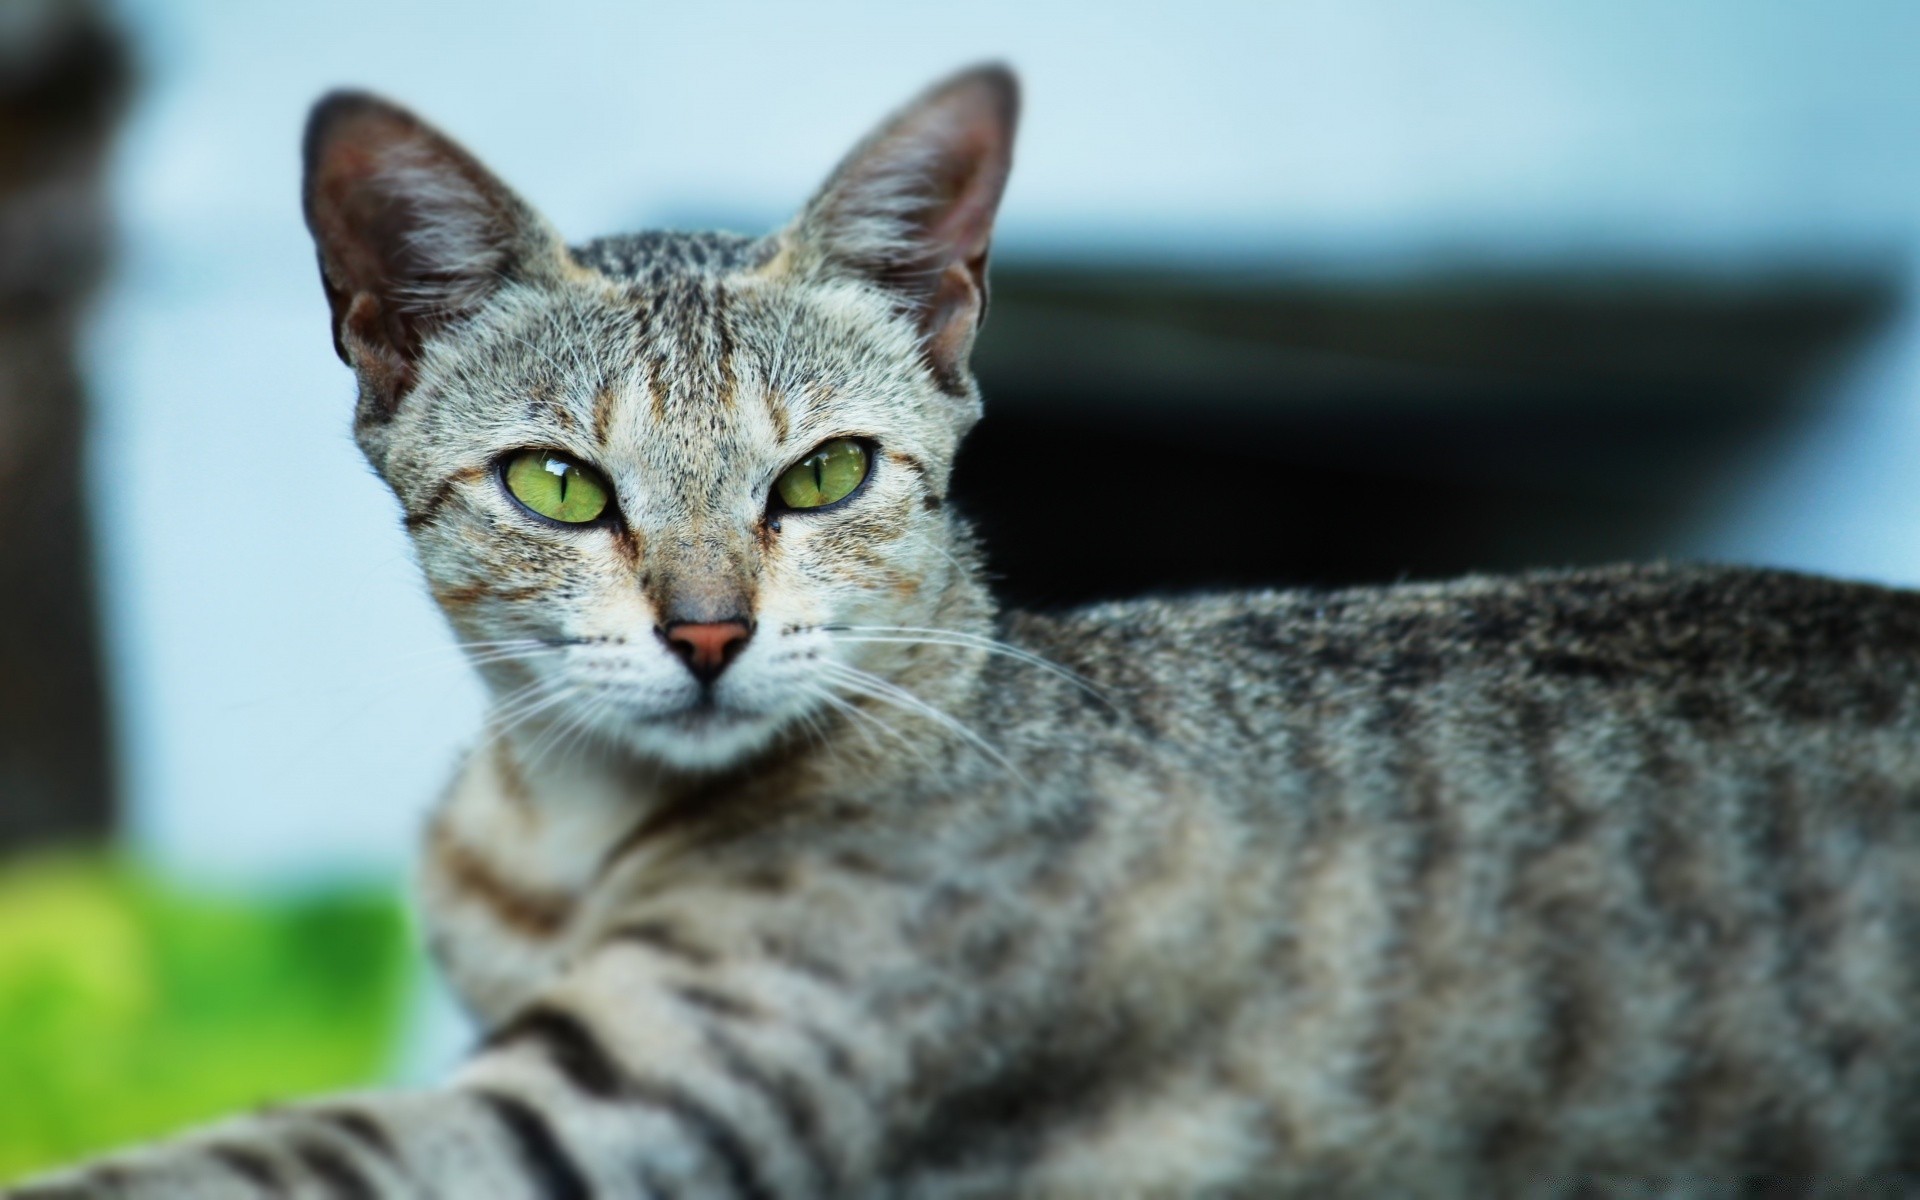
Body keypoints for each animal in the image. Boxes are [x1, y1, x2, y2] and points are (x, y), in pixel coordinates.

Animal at [11, 63, 1920, 1198]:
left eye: (826, 474)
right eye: (559, 485)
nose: (708, 631)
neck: (561, 835)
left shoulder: (619, 1112)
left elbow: (233, 1163)